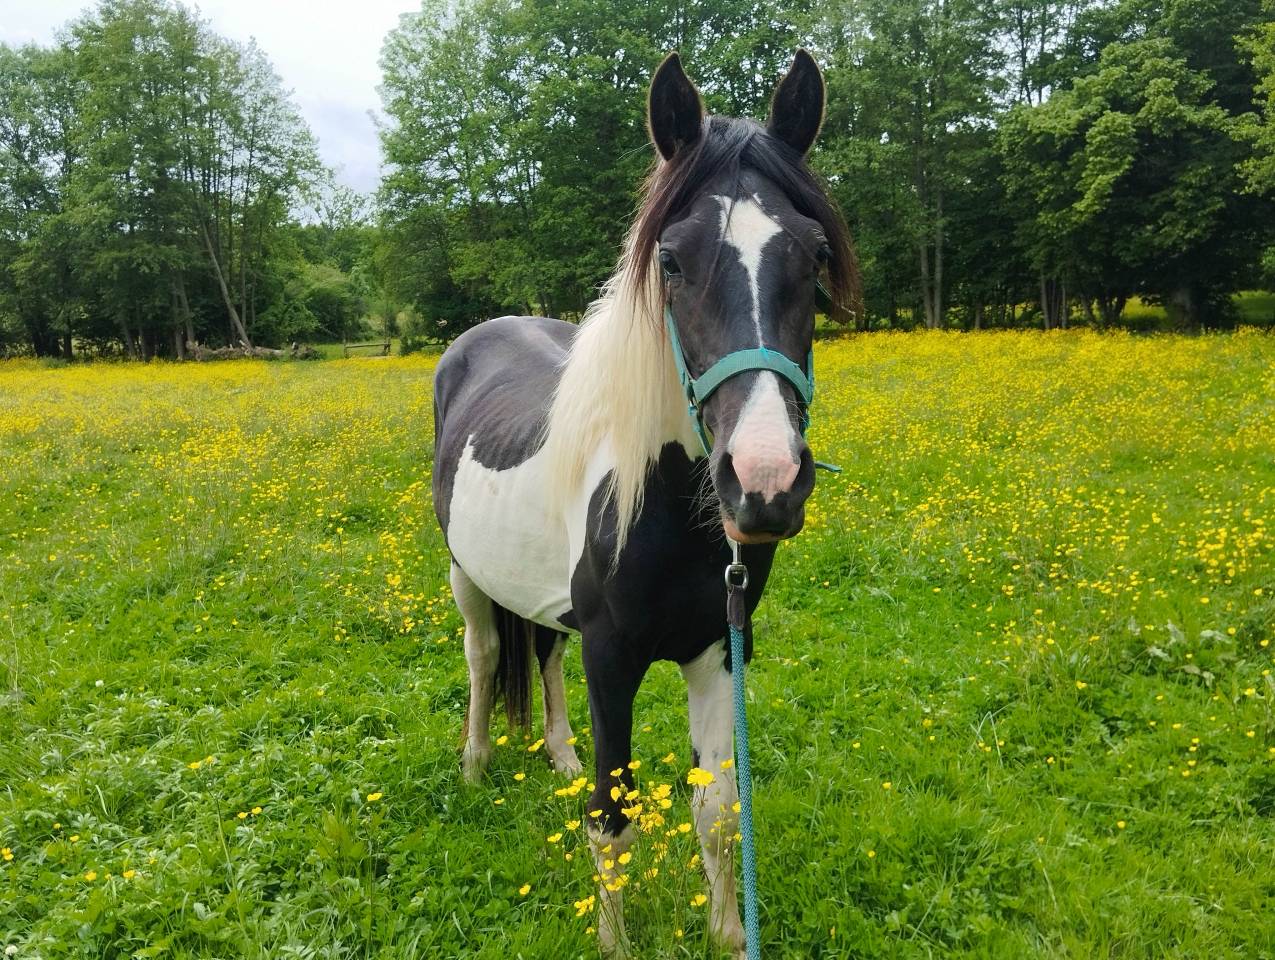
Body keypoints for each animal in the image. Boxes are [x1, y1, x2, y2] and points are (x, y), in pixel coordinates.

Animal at [431, 50, 860, 957]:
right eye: (671, 261)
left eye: (811, 257)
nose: (762, 482)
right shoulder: (612, 656)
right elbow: (611, 816)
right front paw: (614, 941)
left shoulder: (720, 648)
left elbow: (717, 807)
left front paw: (729, 934)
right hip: (463, 574)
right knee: (484, 657)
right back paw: (476, 764)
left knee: (541, 651)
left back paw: (556, 754)